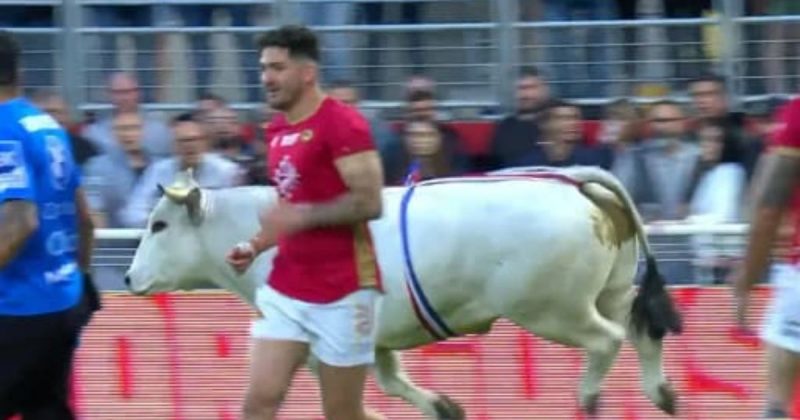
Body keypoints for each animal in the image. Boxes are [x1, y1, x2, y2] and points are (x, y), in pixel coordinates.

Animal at [123, 166, 680, 418]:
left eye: (159, 225)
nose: (128, 279)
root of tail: (573, 182)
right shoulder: (377, 342)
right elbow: (392, 383)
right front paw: (440, 406)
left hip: (553, 311)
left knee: (607, 340)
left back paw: (589, 397)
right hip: (607, 292)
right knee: (640, 329)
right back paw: (662, 393)